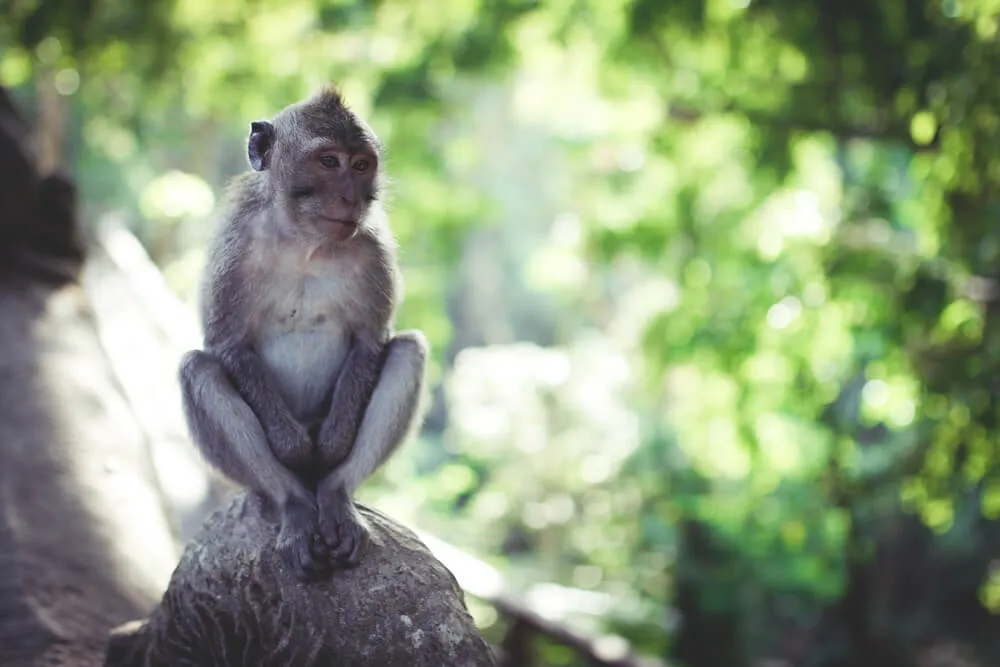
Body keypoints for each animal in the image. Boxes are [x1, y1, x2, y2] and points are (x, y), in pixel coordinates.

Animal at [178, 85, 428, 581]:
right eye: (329, 161)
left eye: (361, 164)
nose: (352, 197)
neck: (305, 242)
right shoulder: (234, 245)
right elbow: (227, 344)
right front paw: (292, 448)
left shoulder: (372, 248)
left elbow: (371, 339)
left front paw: (331, 447)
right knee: (198, 369)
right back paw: (292, 503)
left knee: (408, 351)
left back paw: (334, 493)